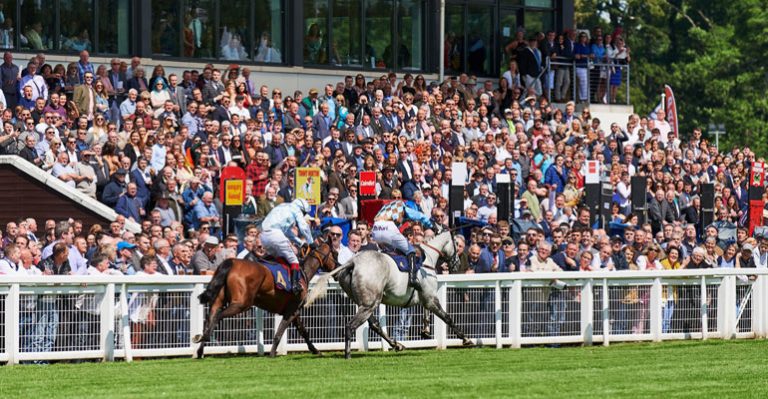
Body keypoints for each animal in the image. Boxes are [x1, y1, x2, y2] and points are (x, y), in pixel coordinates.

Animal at [195, 239, 336, 358]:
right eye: (335, 253)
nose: (338, 266)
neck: (303, 273)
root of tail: (231, 263)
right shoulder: (291, 310)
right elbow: (279, 332)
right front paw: (272, 353)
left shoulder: (294, 311)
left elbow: (303, 331)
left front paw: (315, 350)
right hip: (241, 304)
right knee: (218, 316)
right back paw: (205, 338)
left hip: (219, 301)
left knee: (210, 318)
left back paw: (200, 348)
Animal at [306, 231, 474, 360]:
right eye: (457, 244)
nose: (457, 264)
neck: (427, 259)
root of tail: (353, 262)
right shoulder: (431, 298)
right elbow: (447, 318)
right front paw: (466, 339)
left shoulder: (426, 298)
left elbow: (427, 313)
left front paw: (425, 330)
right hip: (369, 304)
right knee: (350, 326)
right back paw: (348, 355)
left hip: (364, 304)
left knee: (374, 325)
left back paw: (396, 344)